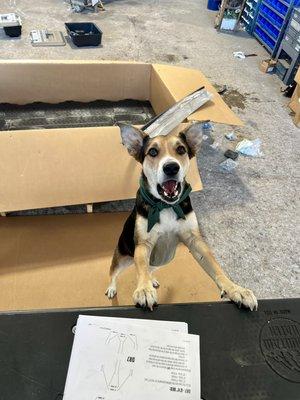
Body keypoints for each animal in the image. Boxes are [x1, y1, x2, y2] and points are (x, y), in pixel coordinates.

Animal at [104, 123, 256, 310]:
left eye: (181, 149)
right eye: (152, 152)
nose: (171, 167)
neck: (166, 206)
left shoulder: (195, 240)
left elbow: (215, 266)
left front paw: (236, 289)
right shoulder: (143, 245)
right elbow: (141, 268)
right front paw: (144, 289)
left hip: (157, 261)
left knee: (149, 268)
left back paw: (152, 279)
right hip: (122, 257)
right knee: (115, 273)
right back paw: (113, 288)